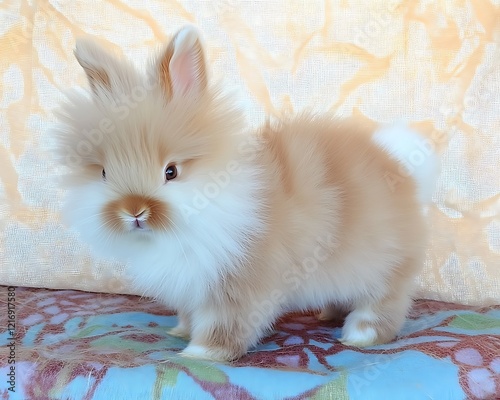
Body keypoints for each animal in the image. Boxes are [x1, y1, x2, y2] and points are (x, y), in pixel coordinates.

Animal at [52, 25, 440, 362]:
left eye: (171, 172)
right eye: (104, 172)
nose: (133, 211)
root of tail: (399, 165)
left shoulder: (237, 284)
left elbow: (224, 324)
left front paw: (199, 353)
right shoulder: (192, 287)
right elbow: (190, 315)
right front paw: (180, 332)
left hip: (385, 267)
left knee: (386, 301)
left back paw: (359, 335)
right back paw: (326, 314)